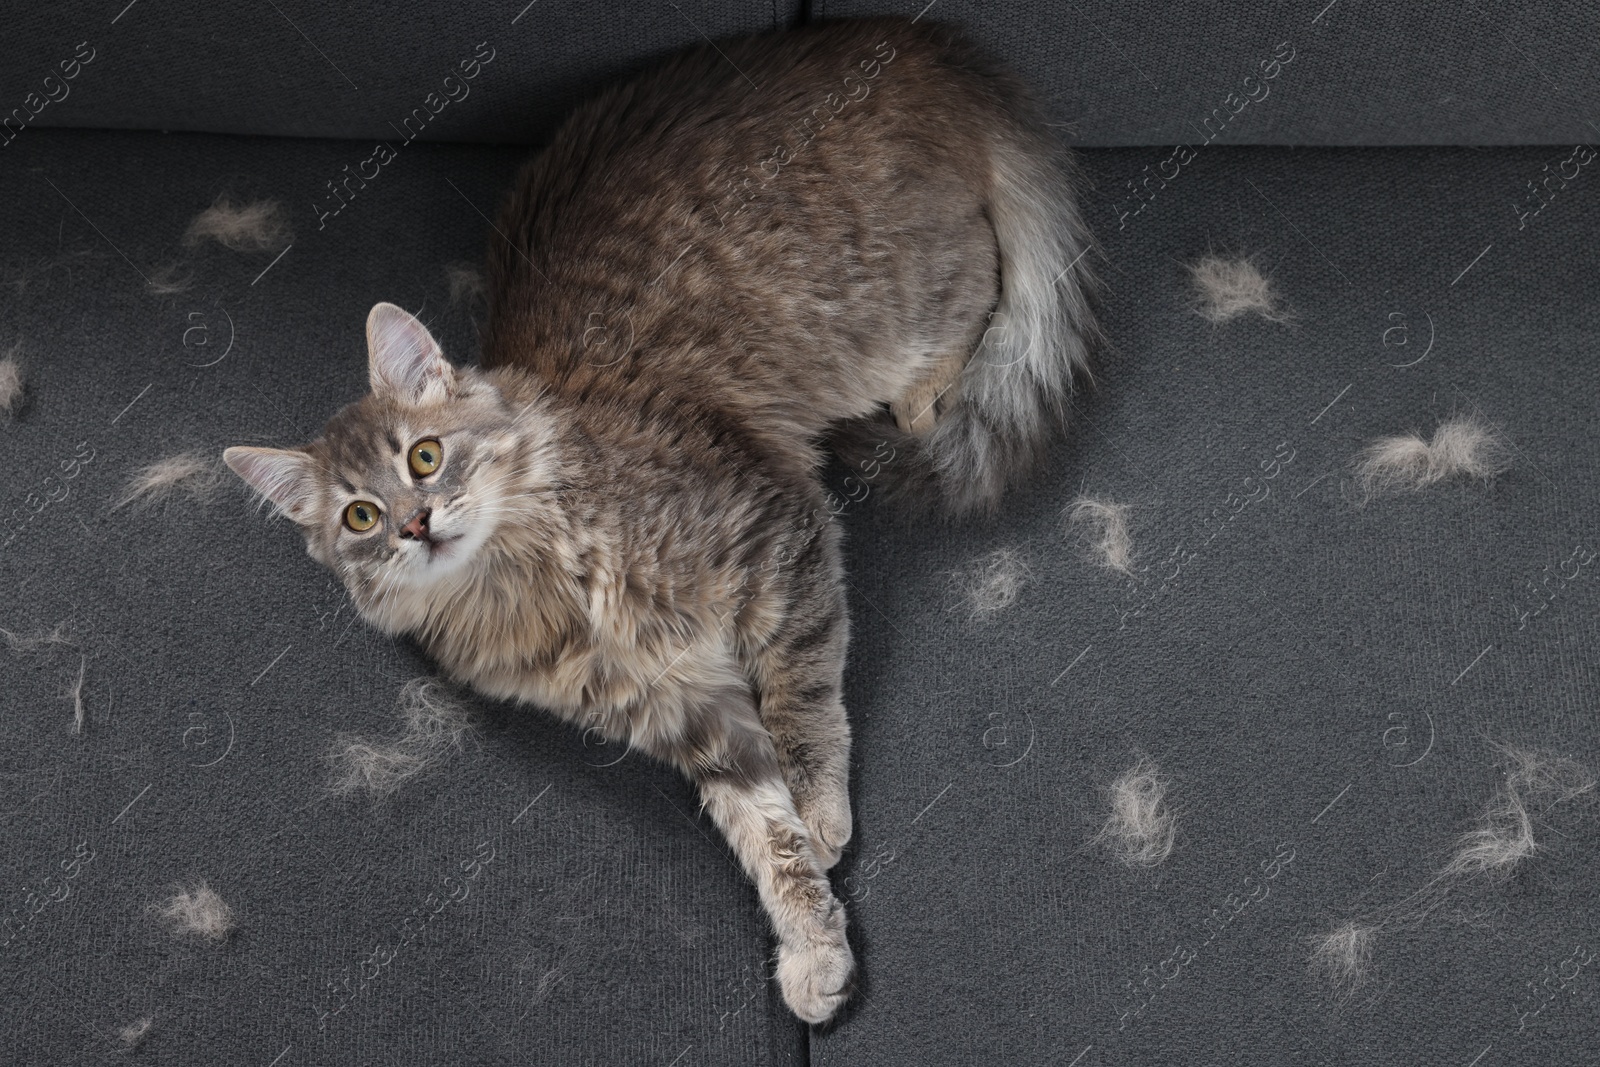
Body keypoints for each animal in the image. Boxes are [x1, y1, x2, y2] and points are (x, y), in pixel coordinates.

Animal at [225, 12, 1100, 1023]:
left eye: (424, 457)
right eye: (361, 516)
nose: (415, 524)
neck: (531, 583)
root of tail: (900, 40)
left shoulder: (776, 538)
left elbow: (805, 704)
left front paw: (824, 810)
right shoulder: (688, 715)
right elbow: (765, 837)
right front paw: (813, 947)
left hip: (898, 312)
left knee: (984, 295)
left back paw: (923, 404)